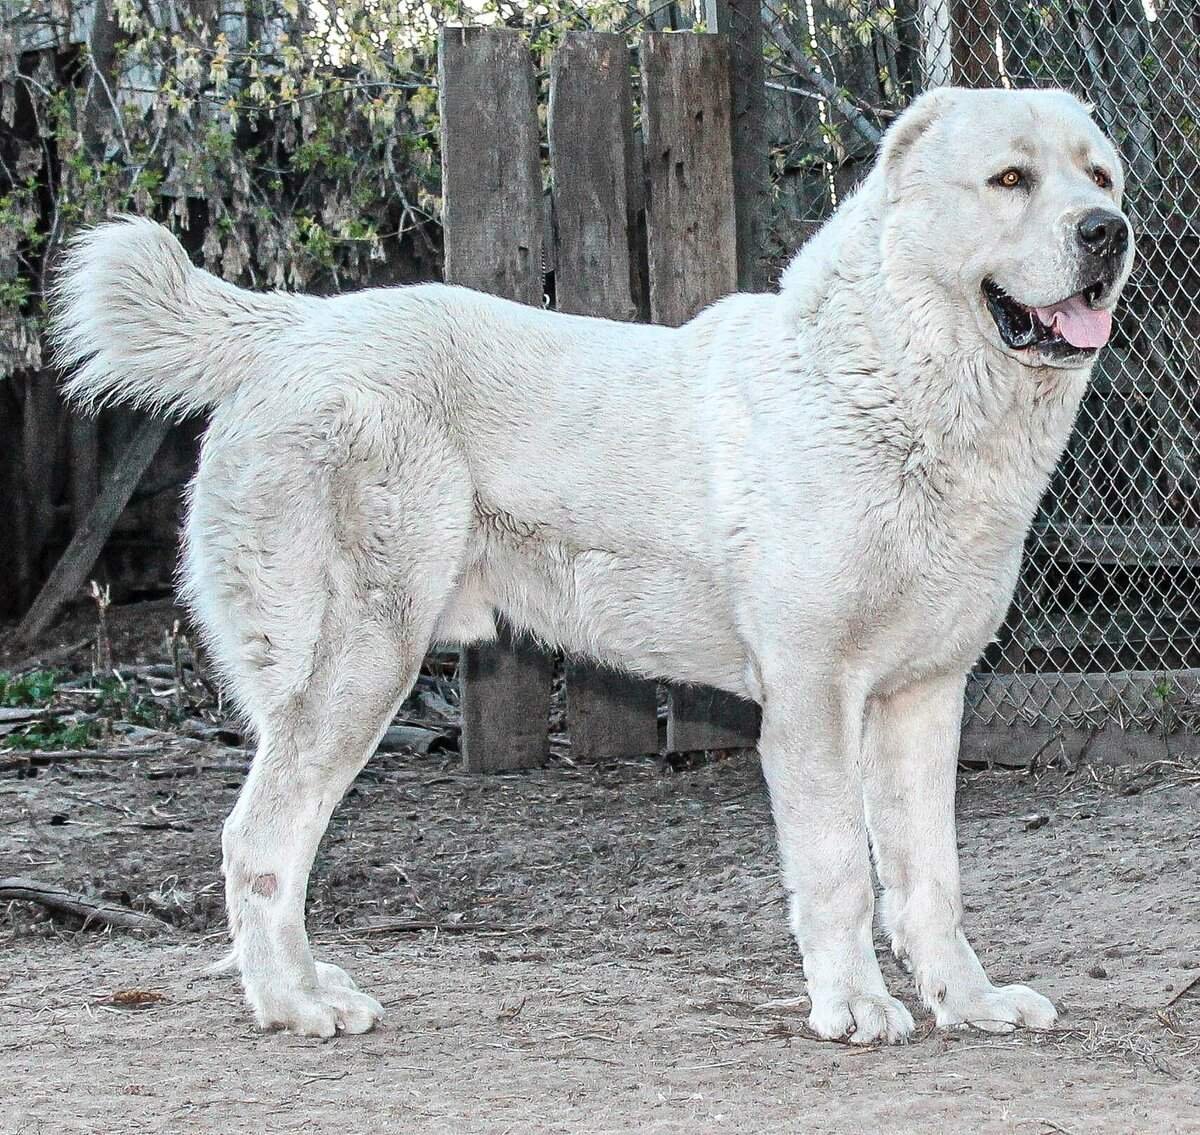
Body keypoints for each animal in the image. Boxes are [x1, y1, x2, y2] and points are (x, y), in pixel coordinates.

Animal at [49, 88, 1132, 1046]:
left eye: (1098, 176)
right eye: (1009, 179)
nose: (1108, 232)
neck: (906, 387)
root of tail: (292, 328)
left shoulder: (923, 698)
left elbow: (929, 882)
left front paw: (969, 1003)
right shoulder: (812, 697)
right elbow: (837, 873)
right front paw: (855, 1008)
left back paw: (309, 985)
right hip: (360, 664)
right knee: (261, 843)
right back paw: (294, 1005)